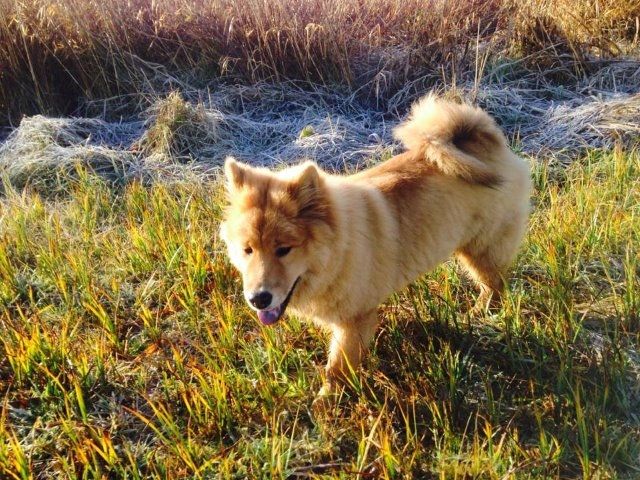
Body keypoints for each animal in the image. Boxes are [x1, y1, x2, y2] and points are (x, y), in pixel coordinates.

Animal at [220, 94, 531, 399]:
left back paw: (481, 315)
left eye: (284, 250)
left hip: (482, 251)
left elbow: (337, 368)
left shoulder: (354, 320)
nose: (258, 299)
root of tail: (485, 140)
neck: (340, 249)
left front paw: (326, 403)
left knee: (495, 285)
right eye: (248, 250)